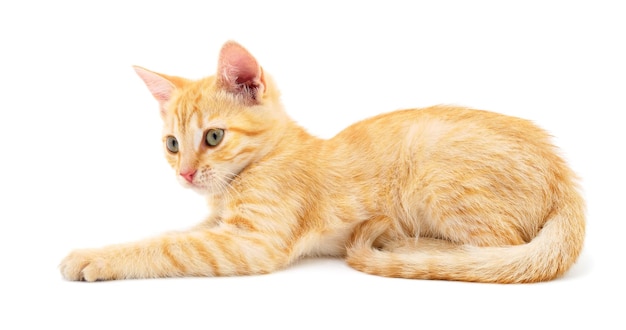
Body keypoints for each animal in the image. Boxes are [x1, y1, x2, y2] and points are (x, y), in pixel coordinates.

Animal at [59, 40, 584, 284]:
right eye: (171, 144)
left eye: (213, 137)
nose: (185, 174)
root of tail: (566, 178)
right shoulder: (219, 225)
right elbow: (171, 234)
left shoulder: (251, 242)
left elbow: (169, 247)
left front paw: (95, 258)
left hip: (438, 176)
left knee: (500, 249)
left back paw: (411, 246)